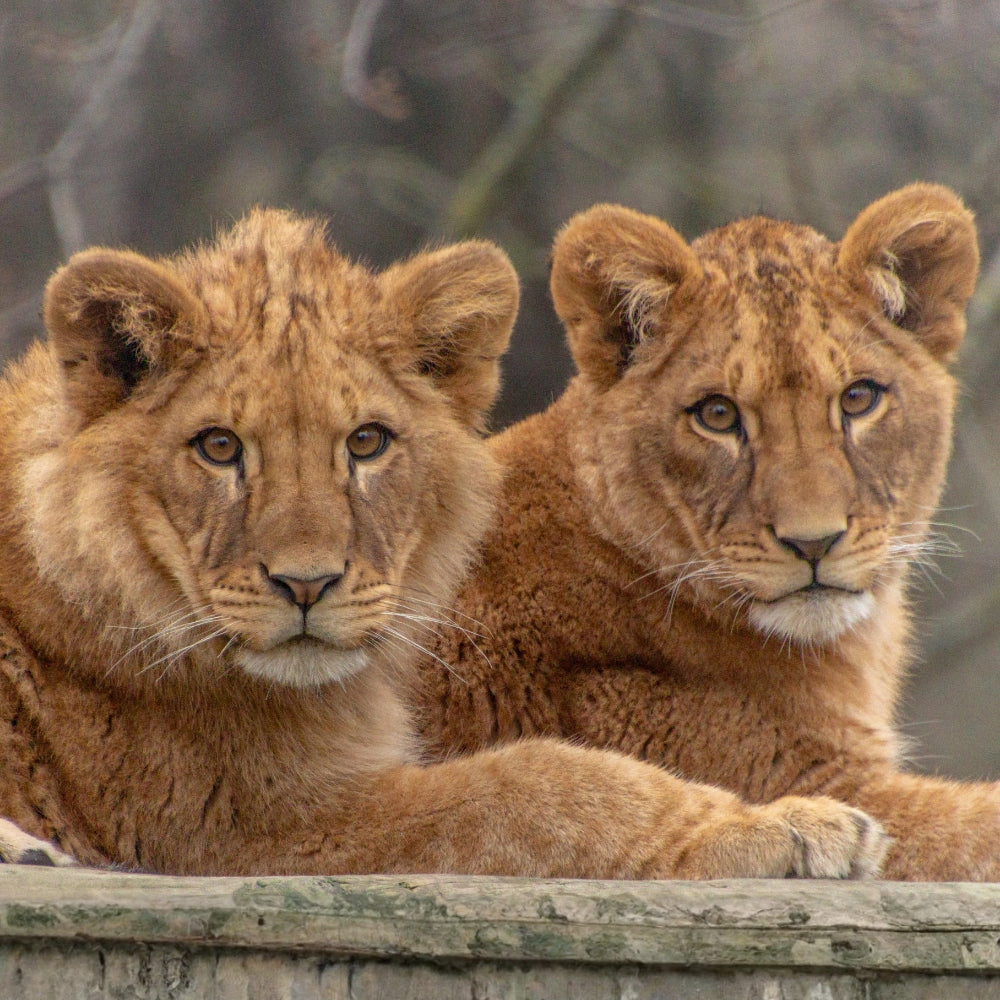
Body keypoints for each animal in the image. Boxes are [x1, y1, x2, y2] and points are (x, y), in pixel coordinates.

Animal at [0, 209, 888, 879]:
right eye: (219, 448)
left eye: (366, 443)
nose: (307, 585)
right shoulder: (243, 823)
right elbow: (542, 785)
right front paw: (786, 828)